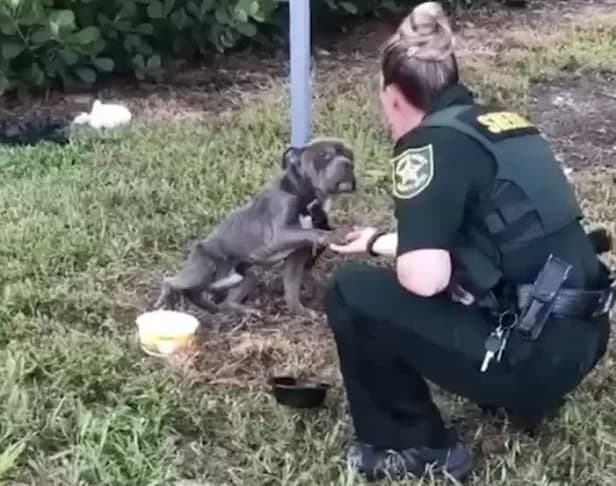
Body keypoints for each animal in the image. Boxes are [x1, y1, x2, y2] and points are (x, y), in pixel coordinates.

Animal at [154, 138, 356, 318]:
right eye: (325, 156)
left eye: (350, 155)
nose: (348, 164)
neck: (305, 197)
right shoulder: (279, 234)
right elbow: (313, 231)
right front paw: (335, 234)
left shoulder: (296, 257)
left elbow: (292, 290)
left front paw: (302, 312)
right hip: (205, 268)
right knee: (171, 282)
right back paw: (167, 300)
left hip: (246, 277)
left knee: (220, 300)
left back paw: (242, 311)